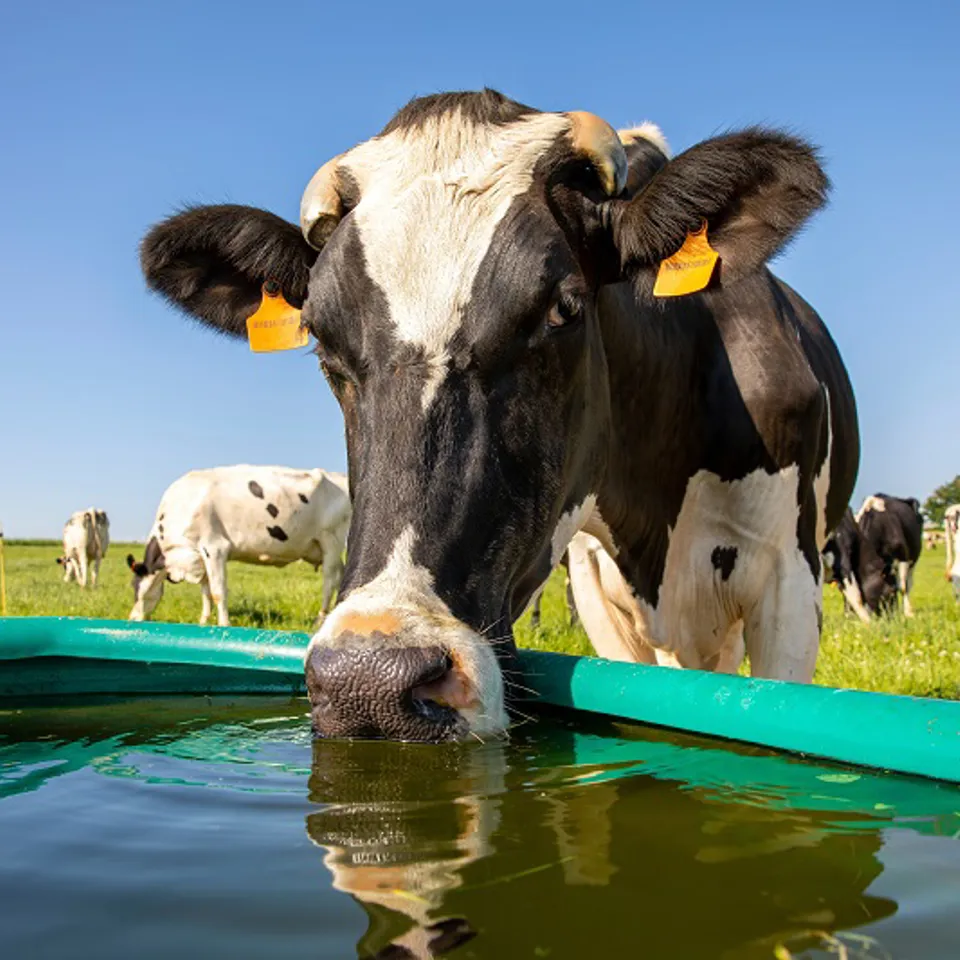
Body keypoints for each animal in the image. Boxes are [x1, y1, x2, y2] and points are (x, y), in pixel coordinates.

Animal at [125, 466, 350, 632]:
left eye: (136, 588)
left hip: (331, 540)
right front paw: (203, 621)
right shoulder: (200, 557)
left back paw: (320, 620)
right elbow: (205, 592)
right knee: (342, 575)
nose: (132, 618)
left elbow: (218, 591)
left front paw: (224, 625)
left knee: (329, 581)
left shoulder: (214, 547)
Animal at [856, 492, 924, 620]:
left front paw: (908, 612)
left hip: (913, 559)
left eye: (892, 591)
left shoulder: (903, 556)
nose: (891, 616)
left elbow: (903, 587)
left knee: (908, 582)